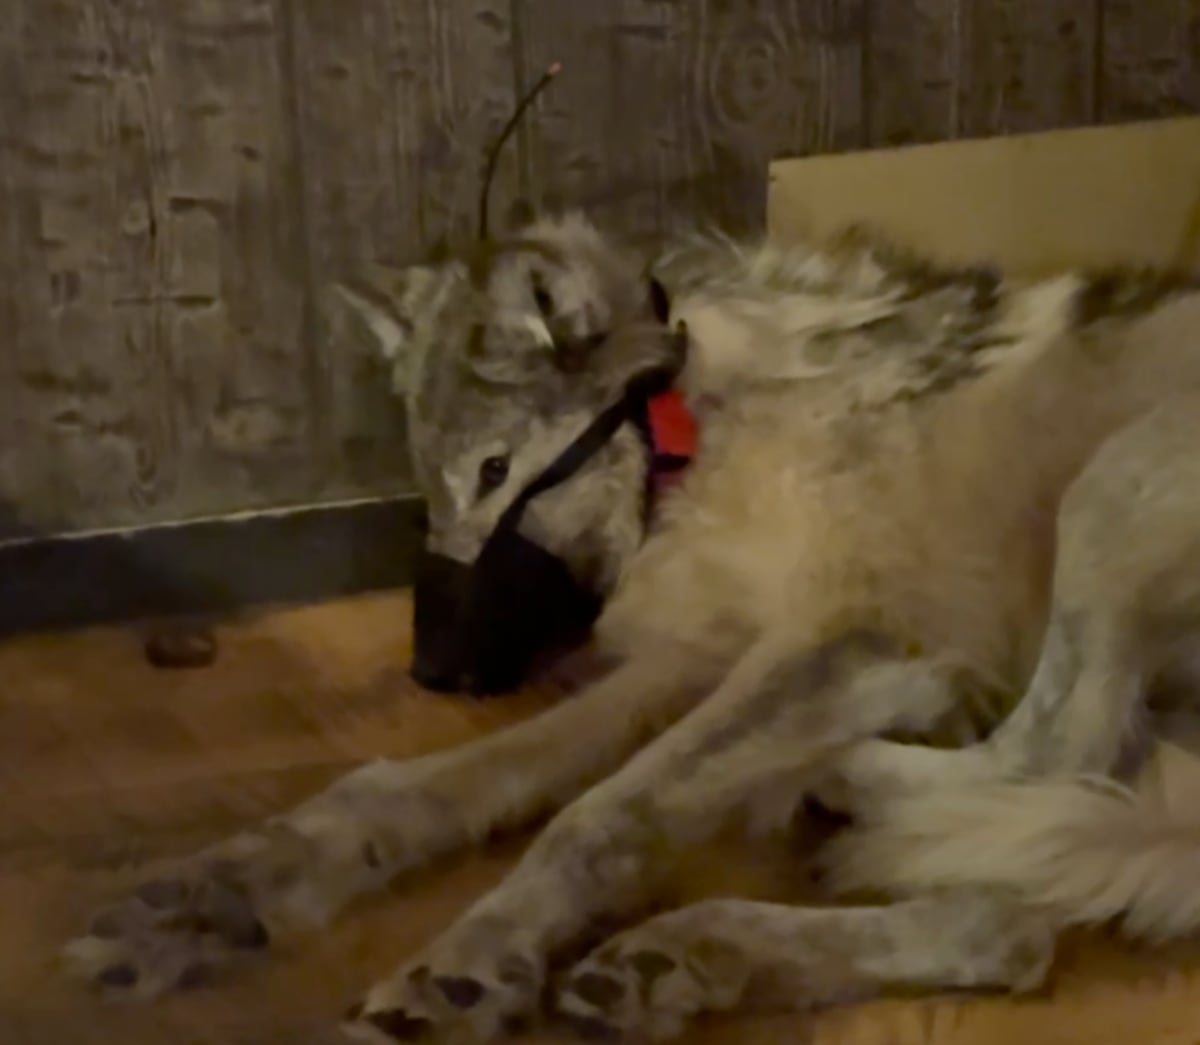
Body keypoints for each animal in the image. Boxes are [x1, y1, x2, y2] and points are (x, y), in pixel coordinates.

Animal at [61, 205, 1200, 1044]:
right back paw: (689, 953)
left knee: (1054, 755)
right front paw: (226, 891)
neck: (708, 428)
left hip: (1106, 492)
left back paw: (843, 786)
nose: (431, 672)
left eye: (496, 471)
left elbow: (597, 816)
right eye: (432, 491)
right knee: (1010, 924)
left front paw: (473, 958)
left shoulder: (847, 640)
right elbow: (439, 784)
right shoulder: (700, 650)